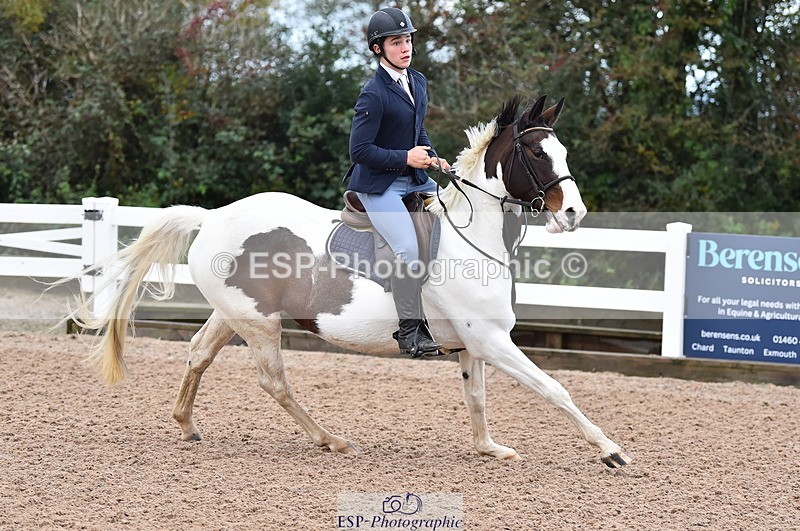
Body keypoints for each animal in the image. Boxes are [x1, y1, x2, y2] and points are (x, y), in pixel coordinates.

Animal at [75, 94, 632, 468]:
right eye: (537, 155)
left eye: (562, 151)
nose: (575, 213)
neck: (474, 239)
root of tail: (212, 217)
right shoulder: (493, 341)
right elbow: (555, 388)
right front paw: (610, 449)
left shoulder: (473, 345)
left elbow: (476, 398)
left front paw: (489, 448)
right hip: (259, 323)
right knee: (273, 381)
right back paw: (331, 440)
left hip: (233, 314)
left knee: (198, 354)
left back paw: (187, 425)